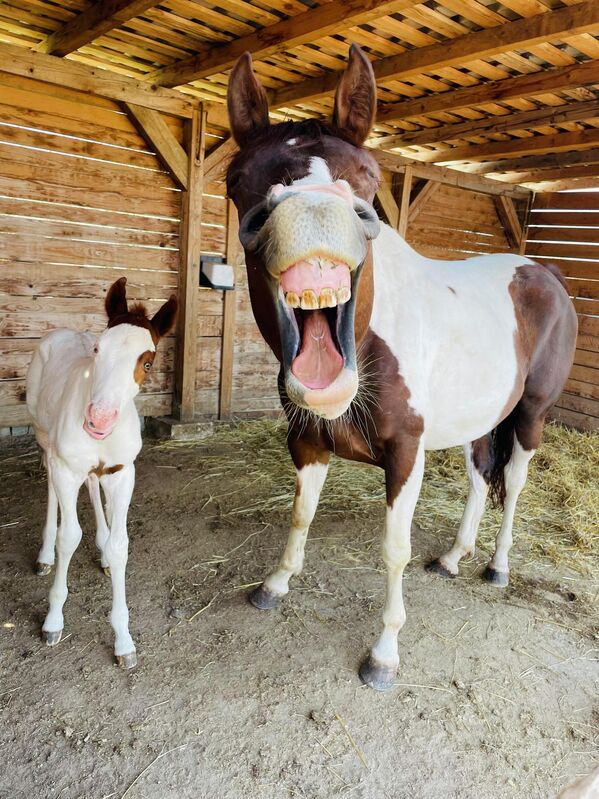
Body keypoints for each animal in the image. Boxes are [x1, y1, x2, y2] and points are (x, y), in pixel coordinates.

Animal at [27, 278, 177, 664]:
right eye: (97, 348)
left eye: (148, 362)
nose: (99, 420)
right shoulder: (66, 468)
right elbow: (69, 537)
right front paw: (53, 620)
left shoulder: (122, 473)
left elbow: (121, 544)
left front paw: (123, 639)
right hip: (44, 437)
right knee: (51, 487)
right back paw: (44, 555)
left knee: (93, 485)